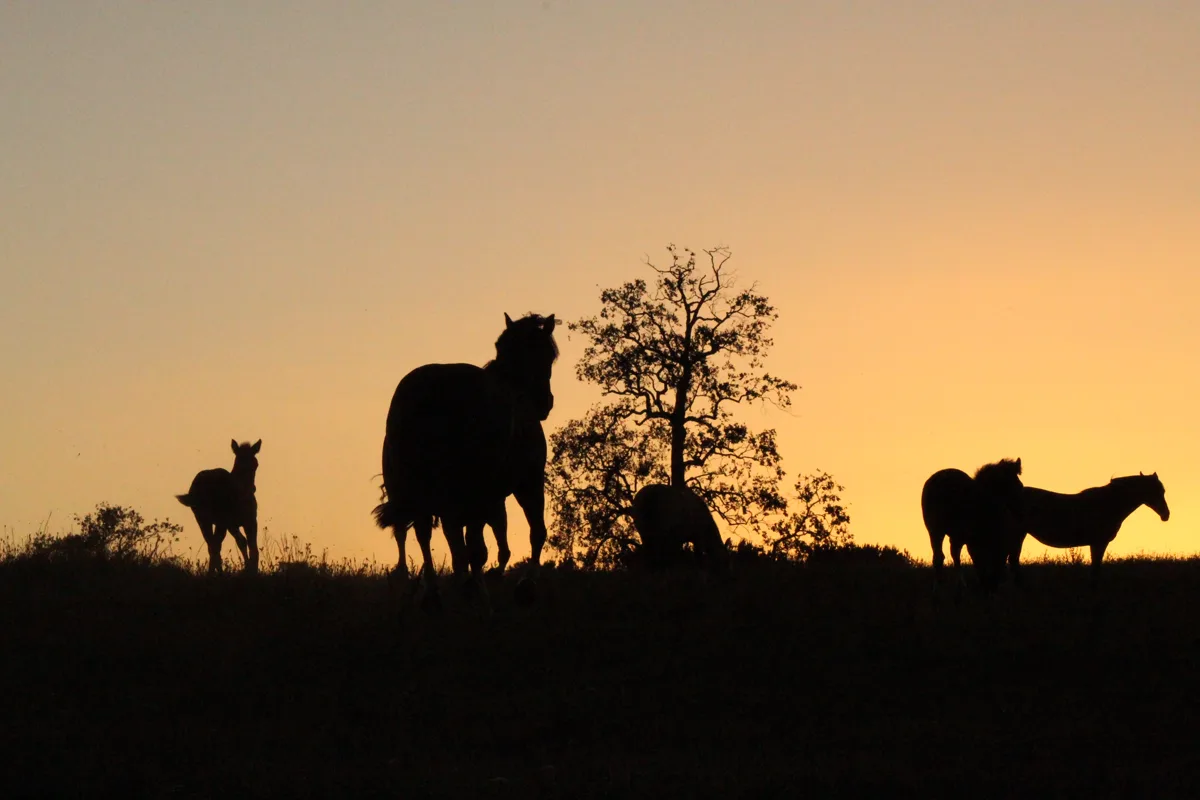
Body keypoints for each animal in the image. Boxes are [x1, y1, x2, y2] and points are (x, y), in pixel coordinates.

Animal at [177, 439, 261, 574]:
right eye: (237, 463)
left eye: (255, 464)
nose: (251, 489)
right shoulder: (231, 522)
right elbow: (246, 544)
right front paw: (250, 569)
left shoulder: (247, 522)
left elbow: (249, 545)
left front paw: (251, 568)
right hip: (206, 519)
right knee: (214, 545)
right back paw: (216, 572)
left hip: (209, 520)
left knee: (213, 544)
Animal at [374, 312, 557, 608]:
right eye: (548, 354)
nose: (545, 403)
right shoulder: (525, 483)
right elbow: (533, 533)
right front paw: (524, 585)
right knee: (463, 544)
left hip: (418, 490)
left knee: (424, 533)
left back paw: (434, 594)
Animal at [921, 457, 1024, 598]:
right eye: (1015, 482)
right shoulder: (982, 543)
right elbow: (984, 566)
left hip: (936, 532)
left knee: (940, 558)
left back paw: (941, 592)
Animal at [1015, 472, 1170, 579]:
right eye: (1154, 491)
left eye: (1163, 491)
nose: (1166, 515)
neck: (1108, 504)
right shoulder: (1099, 542)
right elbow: (1095, 570)